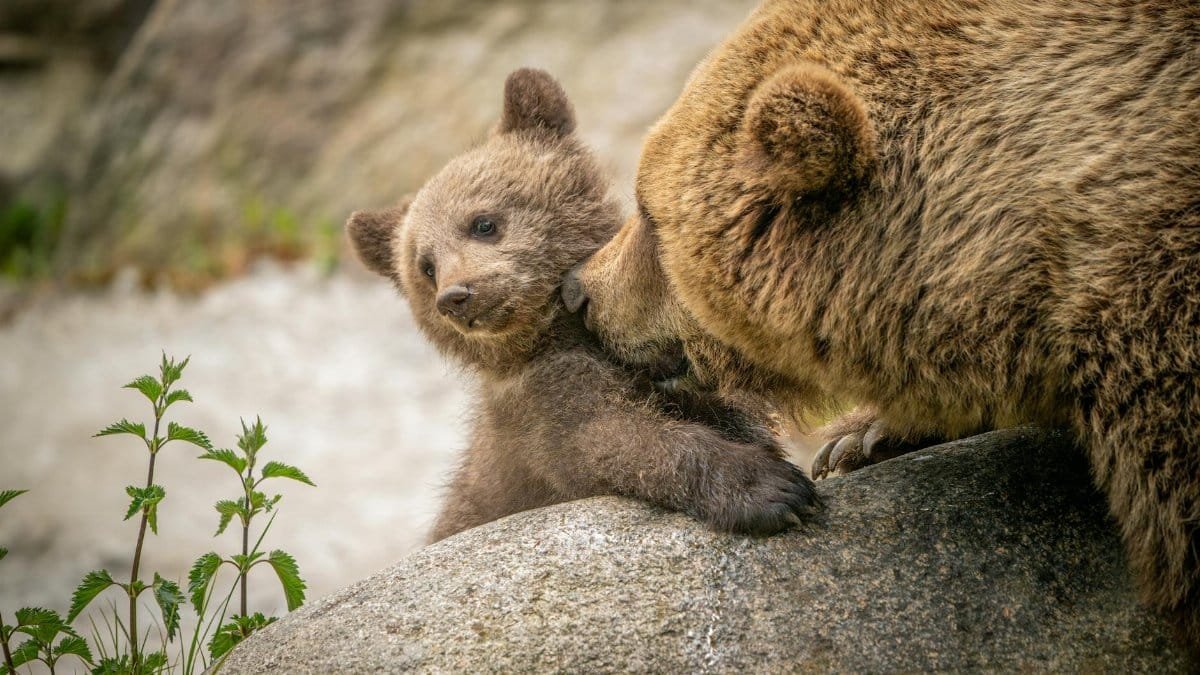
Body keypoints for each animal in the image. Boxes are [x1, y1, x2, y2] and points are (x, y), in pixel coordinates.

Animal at [346, 68, 818, 543]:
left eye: (482, 223)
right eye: (425, 267)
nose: (456, 296)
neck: (560, 333)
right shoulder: (544, 407)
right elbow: (612, 441)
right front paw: (772, 489)